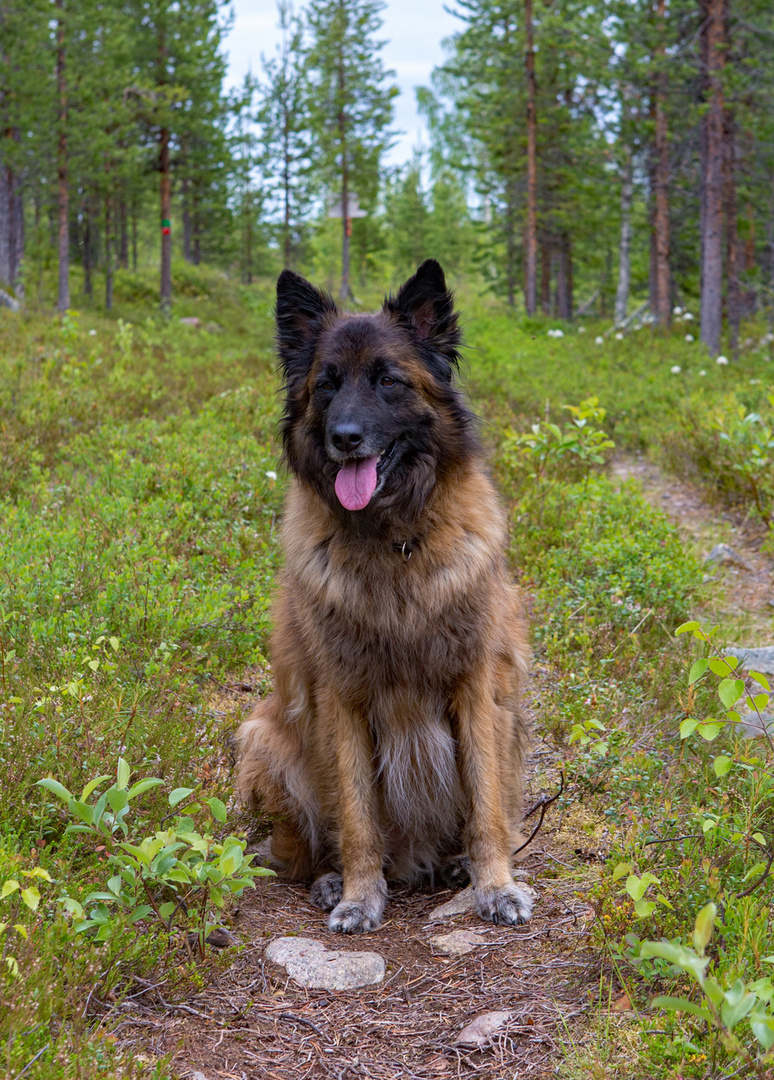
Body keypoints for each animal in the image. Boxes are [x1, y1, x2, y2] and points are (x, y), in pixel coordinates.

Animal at [237, 257, 531, 933]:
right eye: (326, 385)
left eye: (388, 381)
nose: (345, 437)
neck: (395, 541)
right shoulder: (341, 698)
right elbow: (356, 816)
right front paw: (358, 895)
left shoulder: (477, 685)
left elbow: (486, 807)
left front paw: (495, 885)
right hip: (263, 736)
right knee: (300, 852)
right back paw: (327, 879)